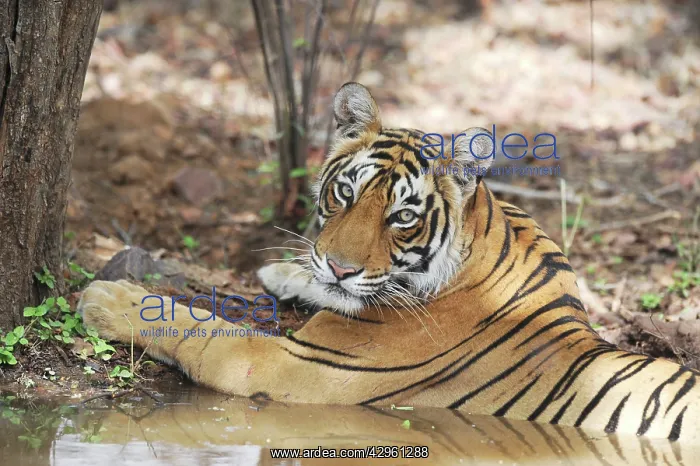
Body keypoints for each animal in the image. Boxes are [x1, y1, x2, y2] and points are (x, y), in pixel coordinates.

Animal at [78, 82, 699, 447]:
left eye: (402, 216)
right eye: (345, 193)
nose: (338, 267)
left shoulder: (286, 364)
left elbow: (202, 330)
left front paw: (111, 298)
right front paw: (285, 271)